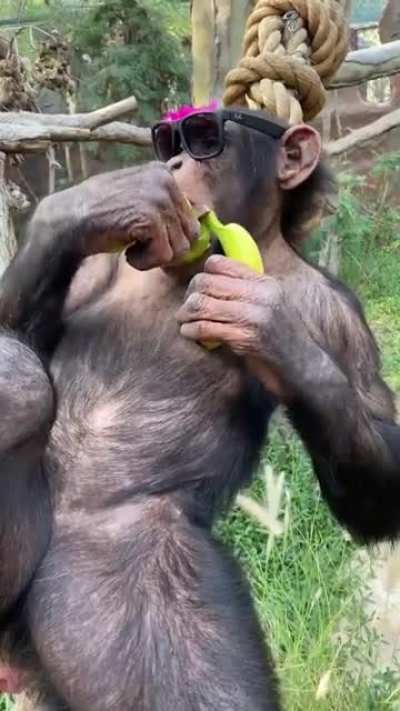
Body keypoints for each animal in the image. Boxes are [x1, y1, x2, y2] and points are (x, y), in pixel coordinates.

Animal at [0, 106, 399, 710]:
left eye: (207, 138)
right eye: (167, 140)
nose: (174, 162)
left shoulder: (337, 316)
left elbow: (379, 464)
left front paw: (268, 328)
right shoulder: (96, 270)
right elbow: (30, 338)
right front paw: (95, 205)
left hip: (118, 607)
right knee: (21, 377)